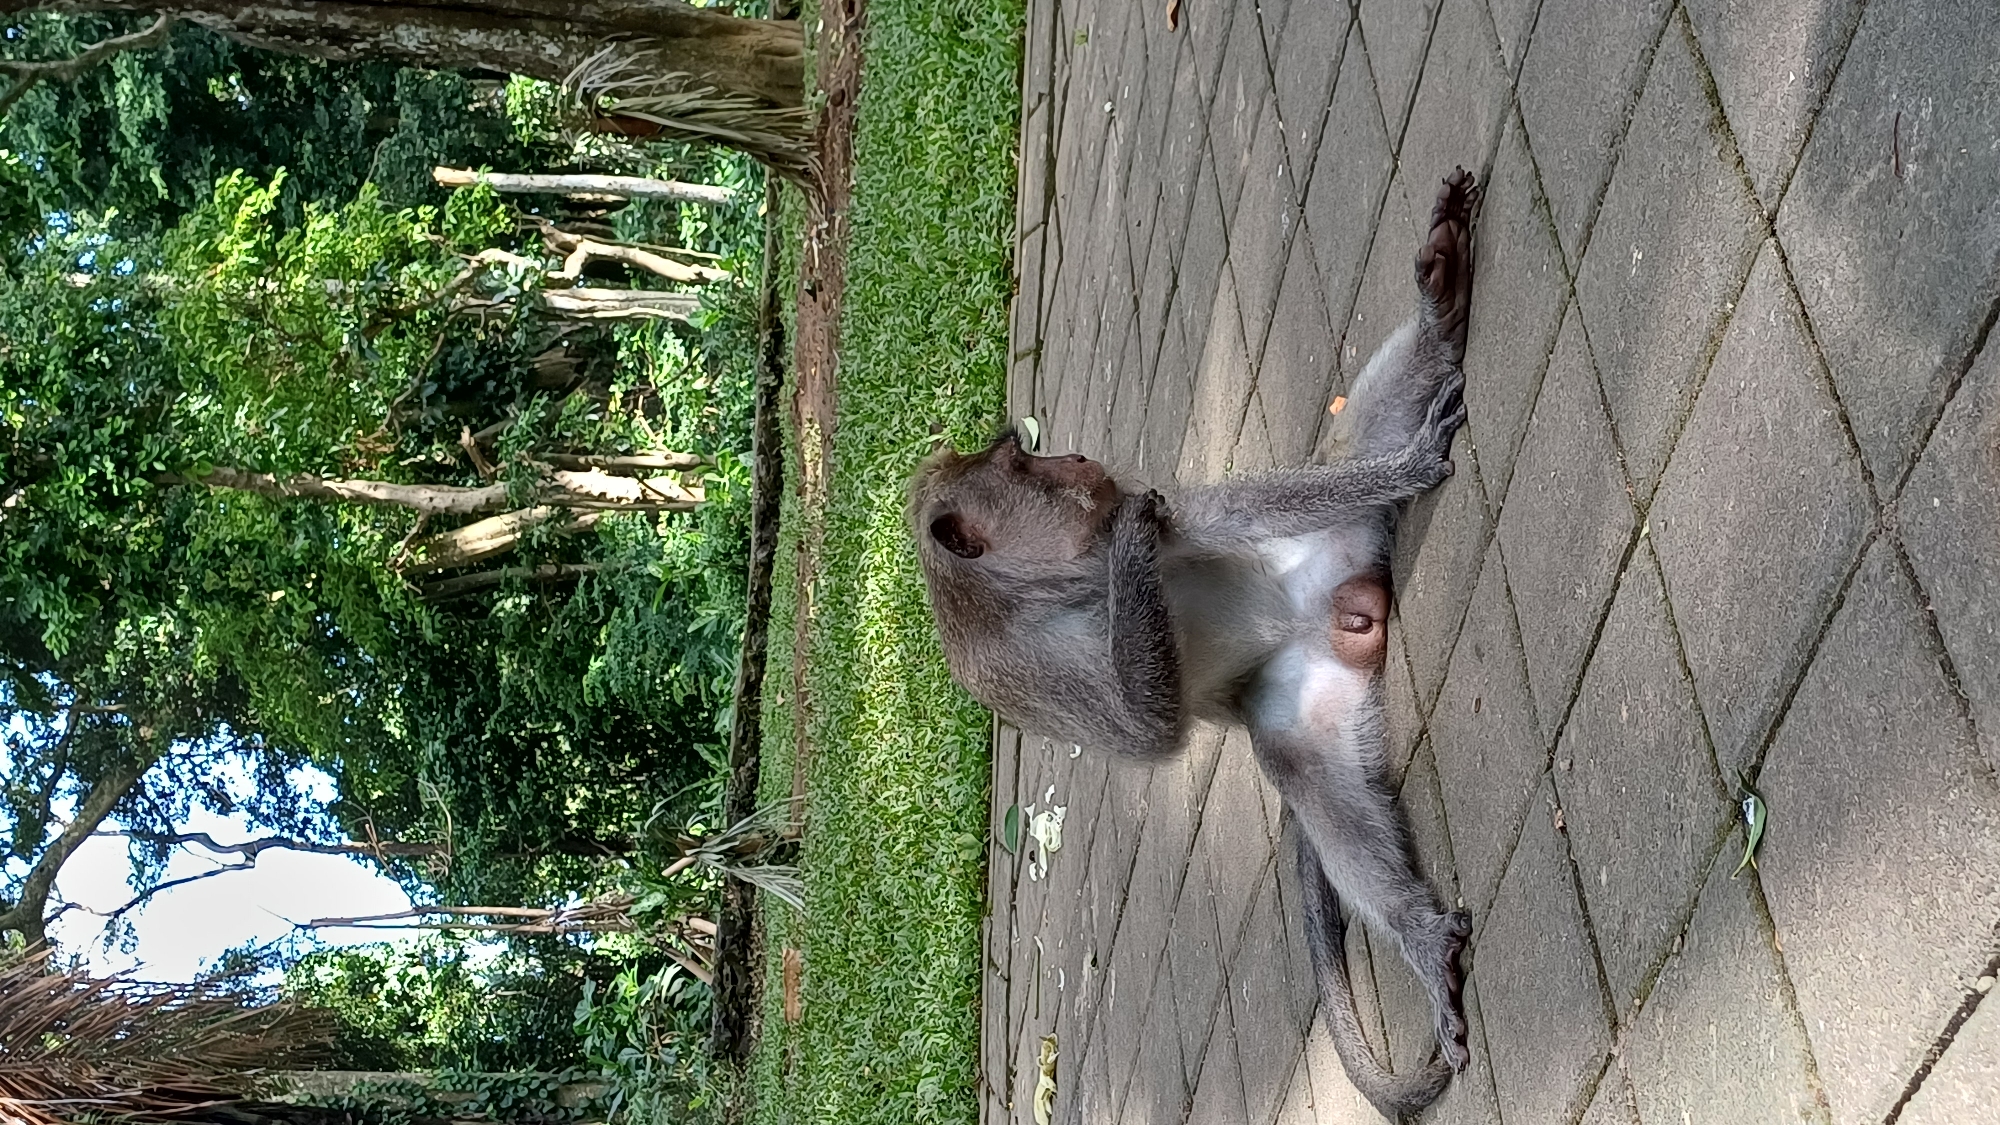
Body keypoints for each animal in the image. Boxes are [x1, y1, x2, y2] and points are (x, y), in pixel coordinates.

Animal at [911, 169, 1482, 1117]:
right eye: (1025, 468)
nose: (1076, 458)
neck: (1054, 583)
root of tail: (1335, 610)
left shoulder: (1144, 503)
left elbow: (1219, 512)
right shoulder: (1018, 672)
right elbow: (1151, 732)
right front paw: (1134, 559)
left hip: (1336, 543)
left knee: (1311, 479)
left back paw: (1437, 309)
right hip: (1309, 684)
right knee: (1302, 764)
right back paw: (1416, 932)